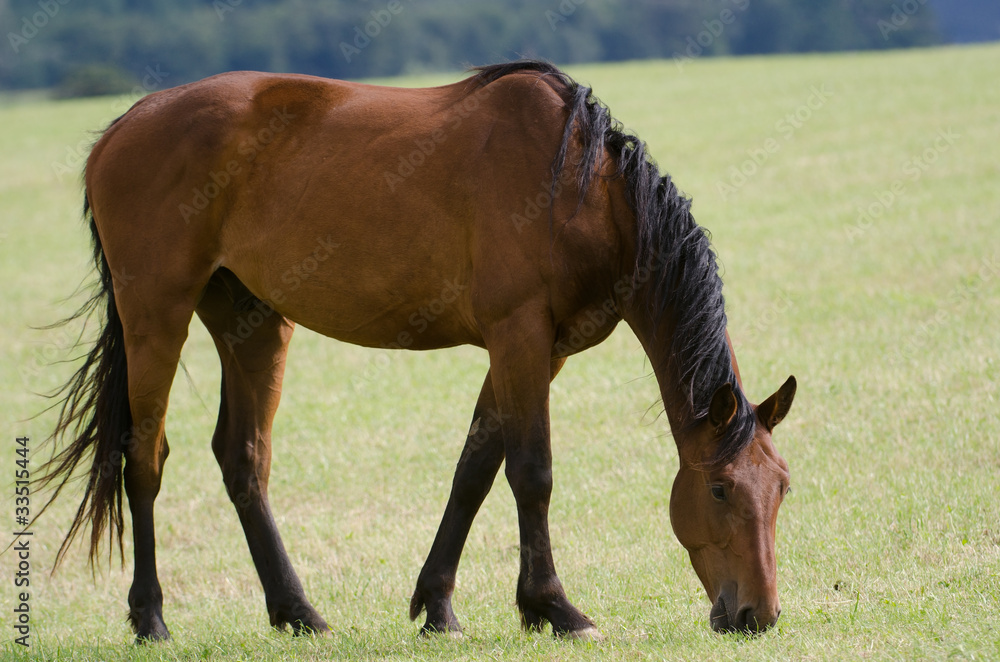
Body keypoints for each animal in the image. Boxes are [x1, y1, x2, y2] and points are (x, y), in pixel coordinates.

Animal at [41, 60, 796, 642]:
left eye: (782, 488)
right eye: (721, 489)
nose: (756, 615)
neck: (580, 191)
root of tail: (119, 130)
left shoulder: (534, 349)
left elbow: (475, 470)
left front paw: (438, 606)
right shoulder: (518, 334)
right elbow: (532, 472)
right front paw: (555, 608)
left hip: (251, 320)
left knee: (243, 459)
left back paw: (298, 612)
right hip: (155, 316)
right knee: (143, 458)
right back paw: (151, 618)